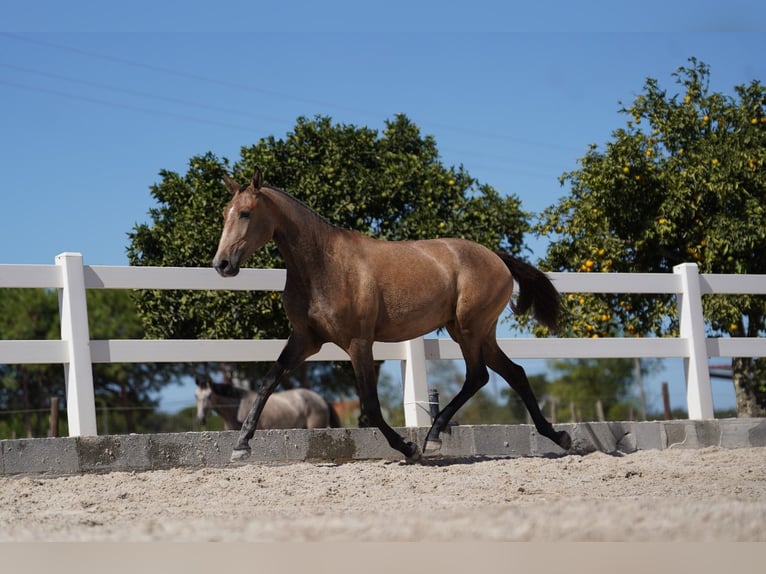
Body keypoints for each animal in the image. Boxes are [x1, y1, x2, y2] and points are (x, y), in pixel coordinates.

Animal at [213, 169, 572, 466]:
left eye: (245, 213)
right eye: (224, 214)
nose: (222, 264)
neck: (323, 265)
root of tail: (494, 256)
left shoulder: (359, 343)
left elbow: (371, 407)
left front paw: (408, 448)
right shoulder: (306, 339)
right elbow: (268, 381)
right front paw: (241, 446)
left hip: (470, 330)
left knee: (478, 376)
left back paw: (432, 440)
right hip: (475, 332)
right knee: (513, 373)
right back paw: (558, 436)